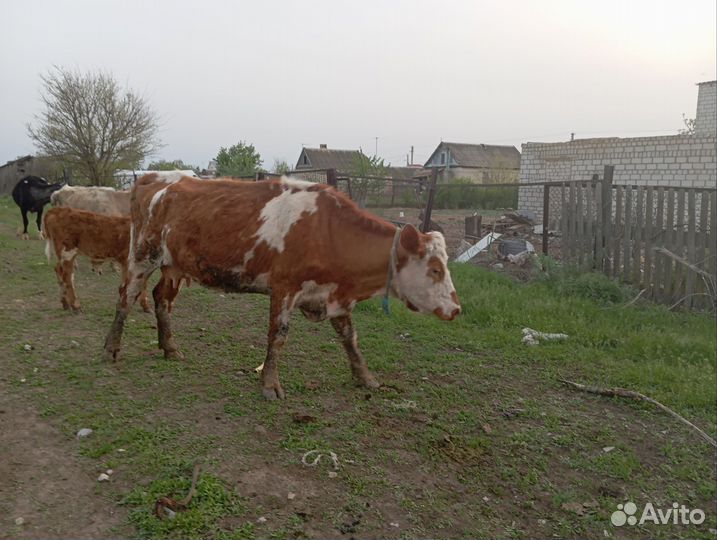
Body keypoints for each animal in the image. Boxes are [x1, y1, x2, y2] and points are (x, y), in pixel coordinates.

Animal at [104, 174, 461, 400]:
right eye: (435, 268)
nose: (456, 309)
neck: (326, 230)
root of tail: (157, 179)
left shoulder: (333, 296)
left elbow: (350, 339)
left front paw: (366, 377)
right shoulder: (284, 289)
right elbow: (278, 337)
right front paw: (270, 385)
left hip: (174, 266)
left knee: (161, 299)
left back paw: (169, 347)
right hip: (143, 256)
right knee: (126, 296)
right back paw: (111, 347)